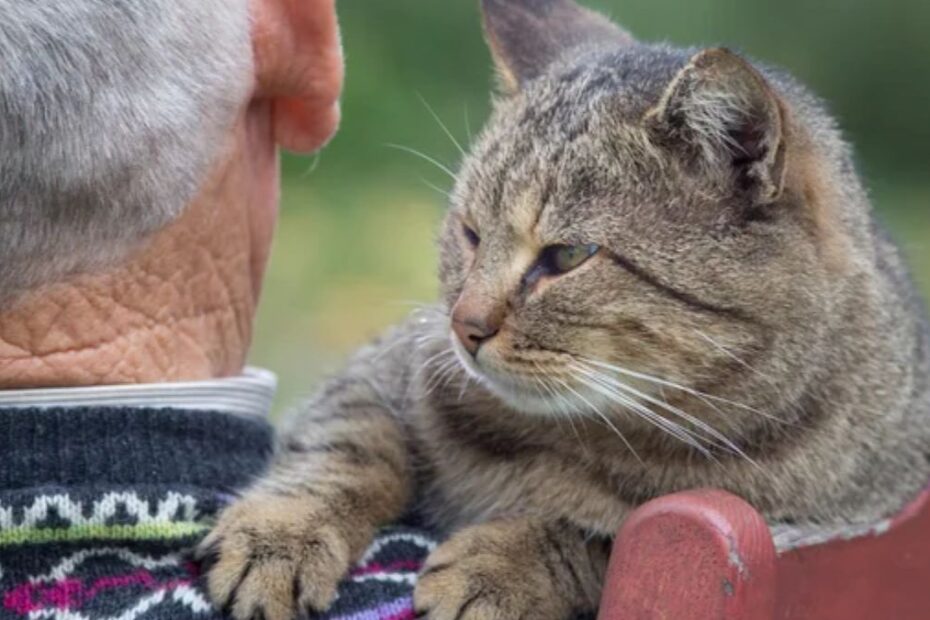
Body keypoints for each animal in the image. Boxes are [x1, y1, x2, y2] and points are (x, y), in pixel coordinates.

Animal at [198, 1, 928, 620]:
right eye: (471, 233)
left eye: (568, 255)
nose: (464, 326)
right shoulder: (387, 366)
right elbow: (345, 444)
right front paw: (279, 534)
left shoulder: (792, 528)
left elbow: (598, 537)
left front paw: (502, 564)